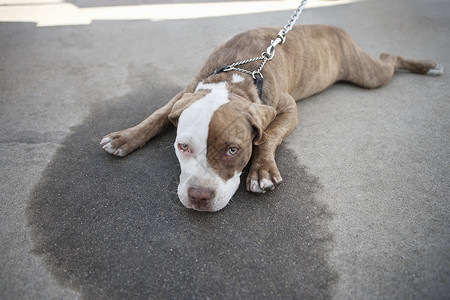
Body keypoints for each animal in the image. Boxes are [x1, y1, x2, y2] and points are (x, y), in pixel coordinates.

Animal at [100, 25, 442, 212]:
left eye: (233, 150)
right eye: (182, 147)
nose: (199, 196)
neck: (235, 76)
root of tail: (334, 28)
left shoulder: (287, 109)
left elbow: (269, 137)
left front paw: (261, 171)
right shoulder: (184, 94)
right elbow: (157, 115)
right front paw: (124, 137)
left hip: (369, 74)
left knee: (389, 59)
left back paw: (428, 66)